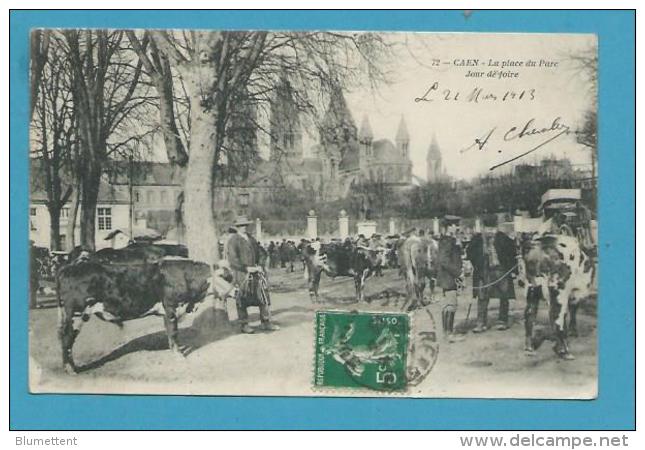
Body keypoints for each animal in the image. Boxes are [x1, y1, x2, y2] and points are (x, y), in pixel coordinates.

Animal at [57, 256, 209, 372]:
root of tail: (67, 269)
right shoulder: (171, 308)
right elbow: (173, 334)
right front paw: (179, 357)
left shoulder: (166, 313)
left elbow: (170, 335)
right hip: (76, 314)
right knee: (67, 338)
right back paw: (71, 369)